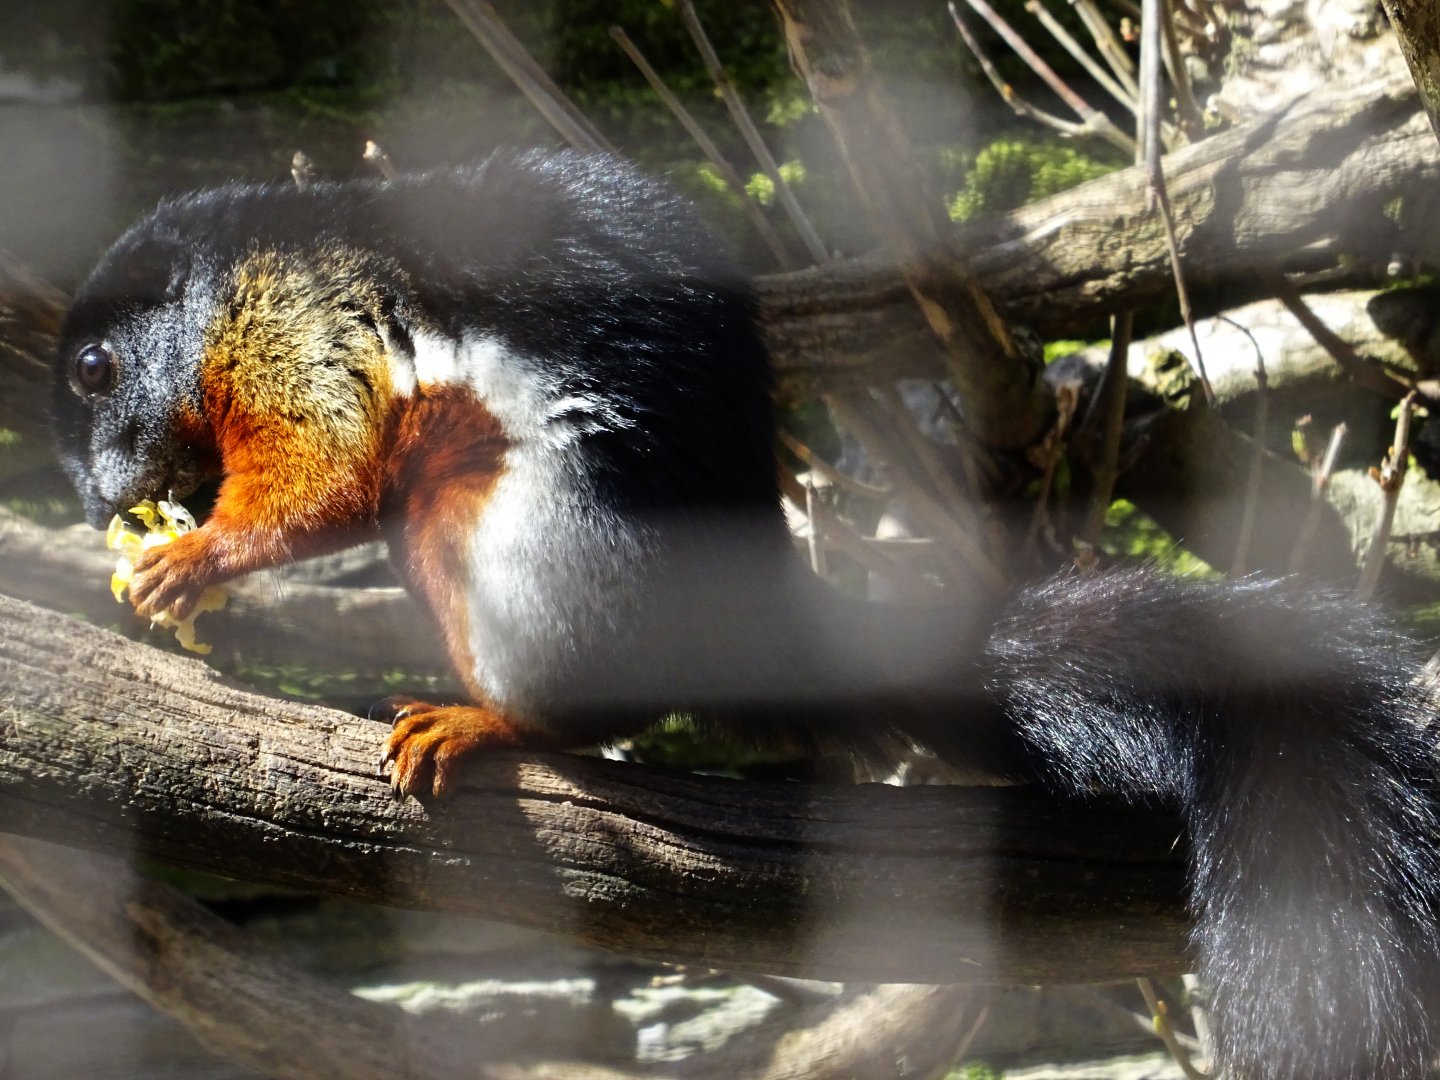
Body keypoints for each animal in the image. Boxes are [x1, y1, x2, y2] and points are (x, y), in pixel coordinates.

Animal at [53, 149, 1440, 1078]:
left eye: (94, 369)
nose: (97, 498)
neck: (226, 280)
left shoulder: (303, 332)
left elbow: (326, 470)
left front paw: (192, 561)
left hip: (519, 542)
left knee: (572, 699)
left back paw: (485, 723)